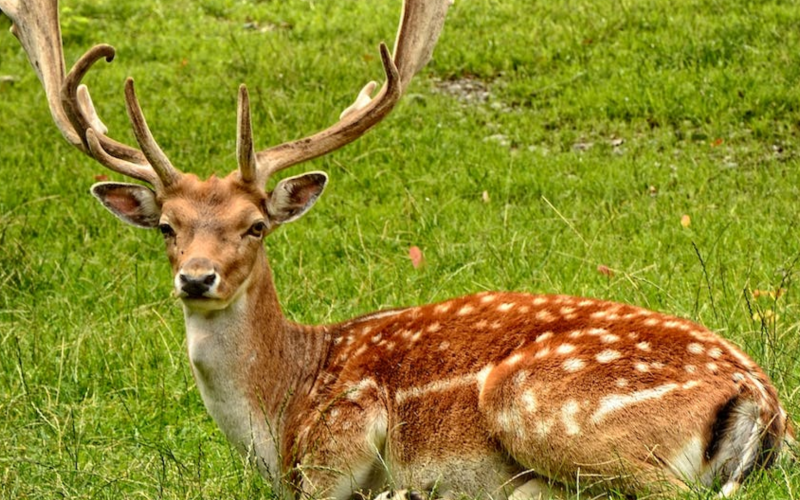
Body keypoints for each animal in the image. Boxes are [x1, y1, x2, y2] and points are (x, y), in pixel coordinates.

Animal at [2, 0, 795, 498]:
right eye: (167, 226)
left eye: (255, 226)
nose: (197, 279)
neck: (279, 408)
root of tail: (762, 400)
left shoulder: (340, 438)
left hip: (539, 403)